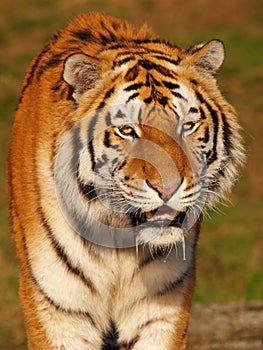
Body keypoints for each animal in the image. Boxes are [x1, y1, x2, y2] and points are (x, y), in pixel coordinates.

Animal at [8, 11, 245, 350]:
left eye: (187, 126)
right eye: (127, 130)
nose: (168, 188)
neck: (118, 238)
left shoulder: (162, 306)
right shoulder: (59, 308)